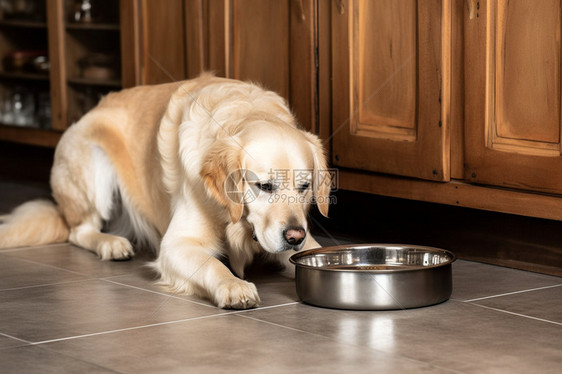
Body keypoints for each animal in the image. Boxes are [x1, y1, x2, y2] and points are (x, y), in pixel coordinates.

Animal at [0, 74, 328, 308]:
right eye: (264, 186)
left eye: (304, 187)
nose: (294, 237)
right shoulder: (175, 245)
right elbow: (212, 264)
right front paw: (233, 286)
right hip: (93, 161)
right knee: (78, 230)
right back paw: (111, 244)